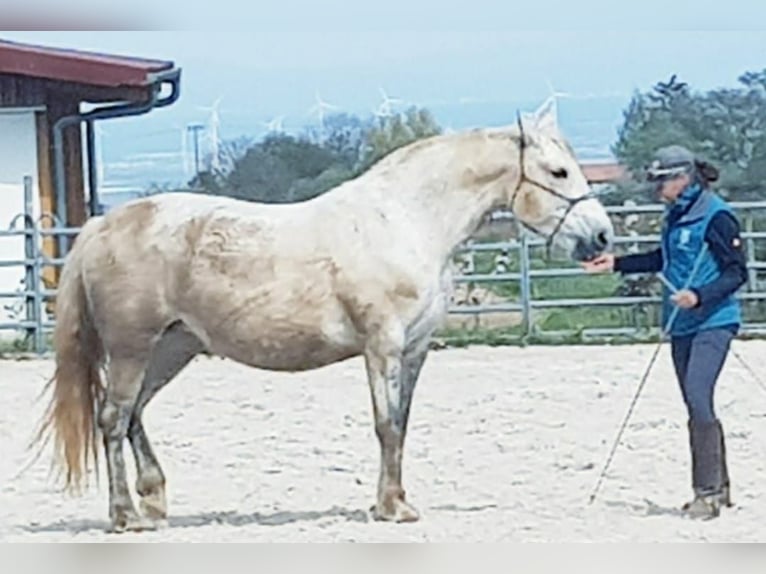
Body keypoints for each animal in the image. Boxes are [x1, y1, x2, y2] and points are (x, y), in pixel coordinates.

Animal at [36, 101, 616, 532]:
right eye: (558, 171)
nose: (602, 237)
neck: (406, 219)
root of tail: (102, 227)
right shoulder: (381, 345)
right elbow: (386, 425)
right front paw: (391, 509)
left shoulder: (415, 350)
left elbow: (402, 424)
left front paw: (396, 501)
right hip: (132, 349)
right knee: (113, 419)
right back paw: (125, 516)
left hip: (172, 348)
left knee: (133, 415)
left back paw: (154, 502)